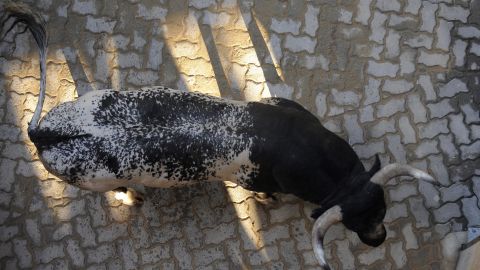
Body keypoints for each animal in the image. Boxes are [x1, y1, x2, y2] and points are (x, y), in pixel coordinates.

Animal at [0, 3, 436, 268]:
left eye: (382, 208)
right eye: (354, 224)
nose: (379, 239)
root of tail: (43, 131)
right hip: (99, 182)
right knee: (119, 191)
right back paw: (133, 196)